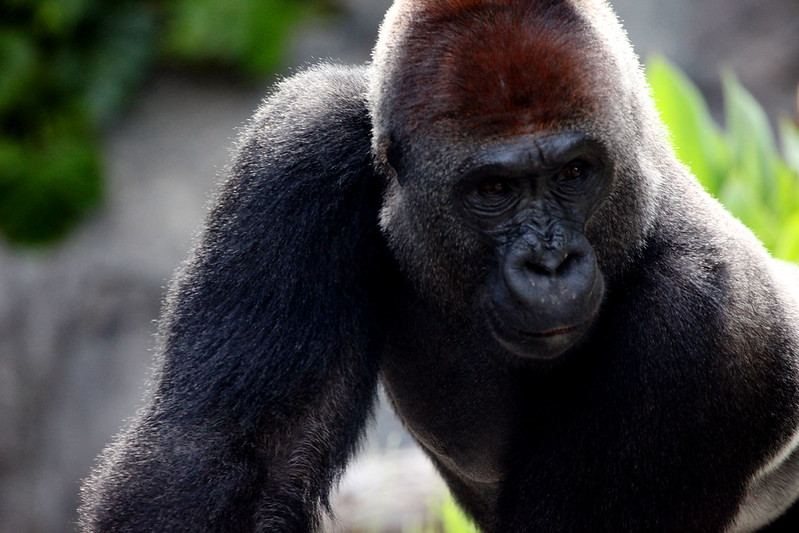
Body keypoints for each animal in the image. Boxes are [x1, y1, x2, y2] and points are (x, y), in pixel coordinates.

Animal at [79, 0, 799, 531]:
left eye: (575, 174)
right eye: (494, 189)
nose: (550, 262)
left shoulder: (701, 321)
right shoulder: (305, 145)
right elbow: (229, 452)